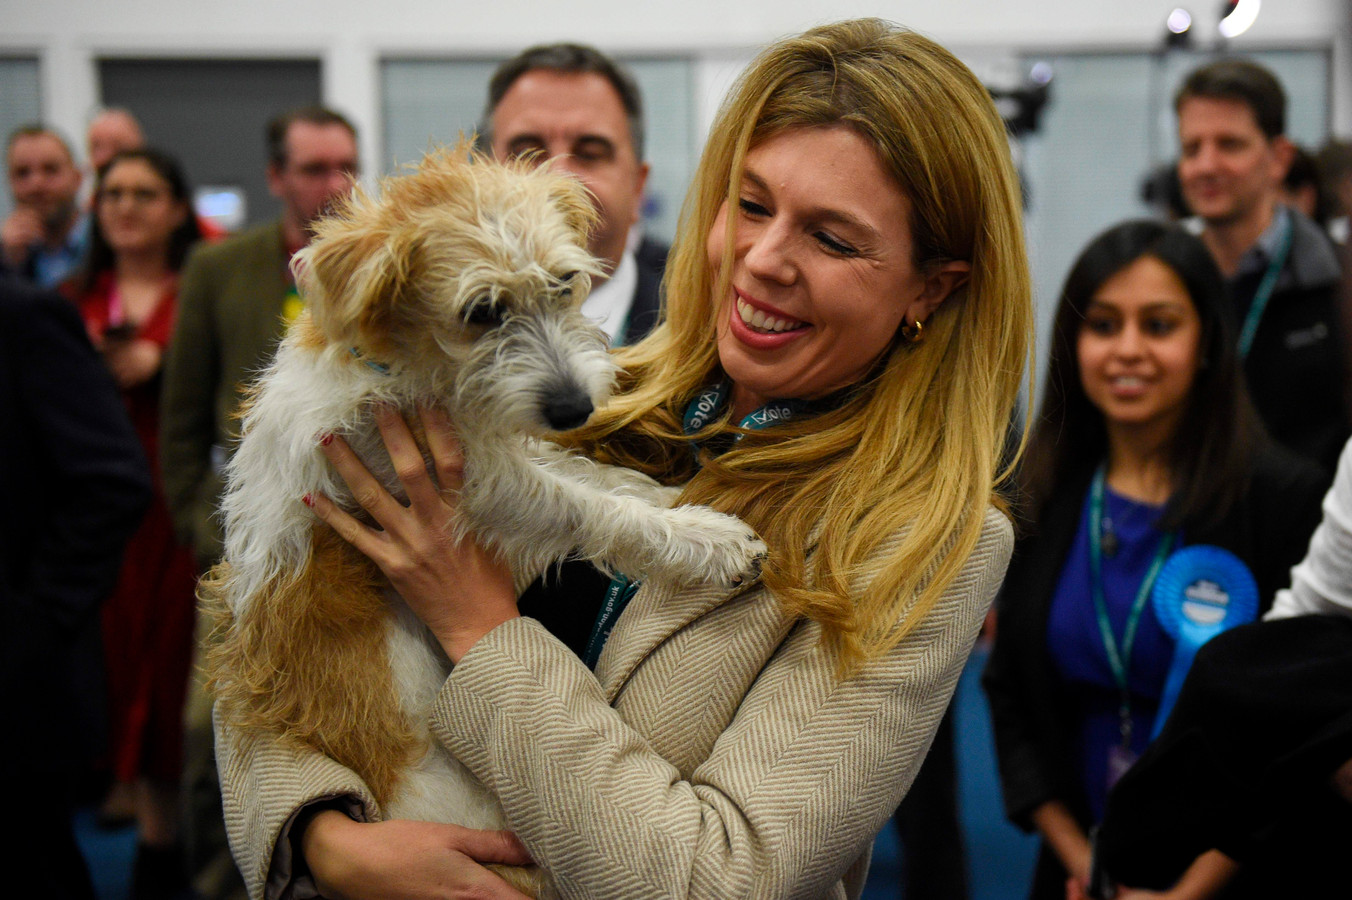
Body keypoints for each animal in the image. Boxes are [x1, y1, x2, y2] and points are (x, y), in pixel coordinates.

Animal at [205, 143, 767, 891]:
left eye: (564, 282)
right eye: (481, 312)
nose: (575, 409)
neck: (406, 368)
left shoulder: (491, 449)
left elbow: (590, 475)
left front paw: (675, 493)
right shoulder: (472, 486)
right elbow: (585, 504)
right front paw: (703, 537)